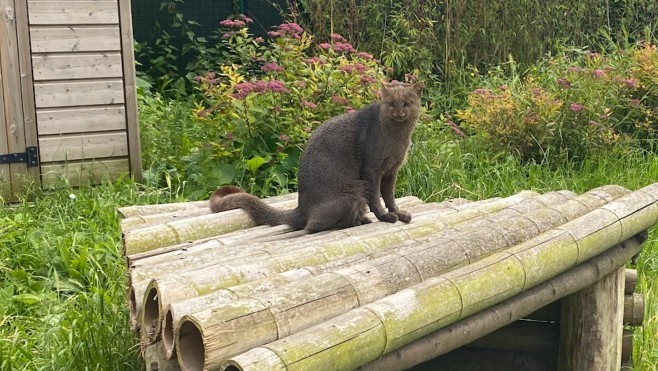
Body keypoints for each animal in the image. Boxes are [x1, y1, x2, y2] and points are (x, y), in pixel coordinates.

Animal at [211, 81, 426, 232]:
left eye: (407, 104)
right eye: (391, 104)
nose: (399, 112)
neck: (398, 137)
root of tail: (301, 208)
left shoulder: (392, 170)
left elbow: (389, 196)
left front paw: (399, 214)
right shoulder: (372, 169)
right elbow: (376, 197)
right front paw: (386, 217)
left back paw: (362, 219)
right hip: (352, 192)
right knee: (314, 226)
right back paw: (356, 222)